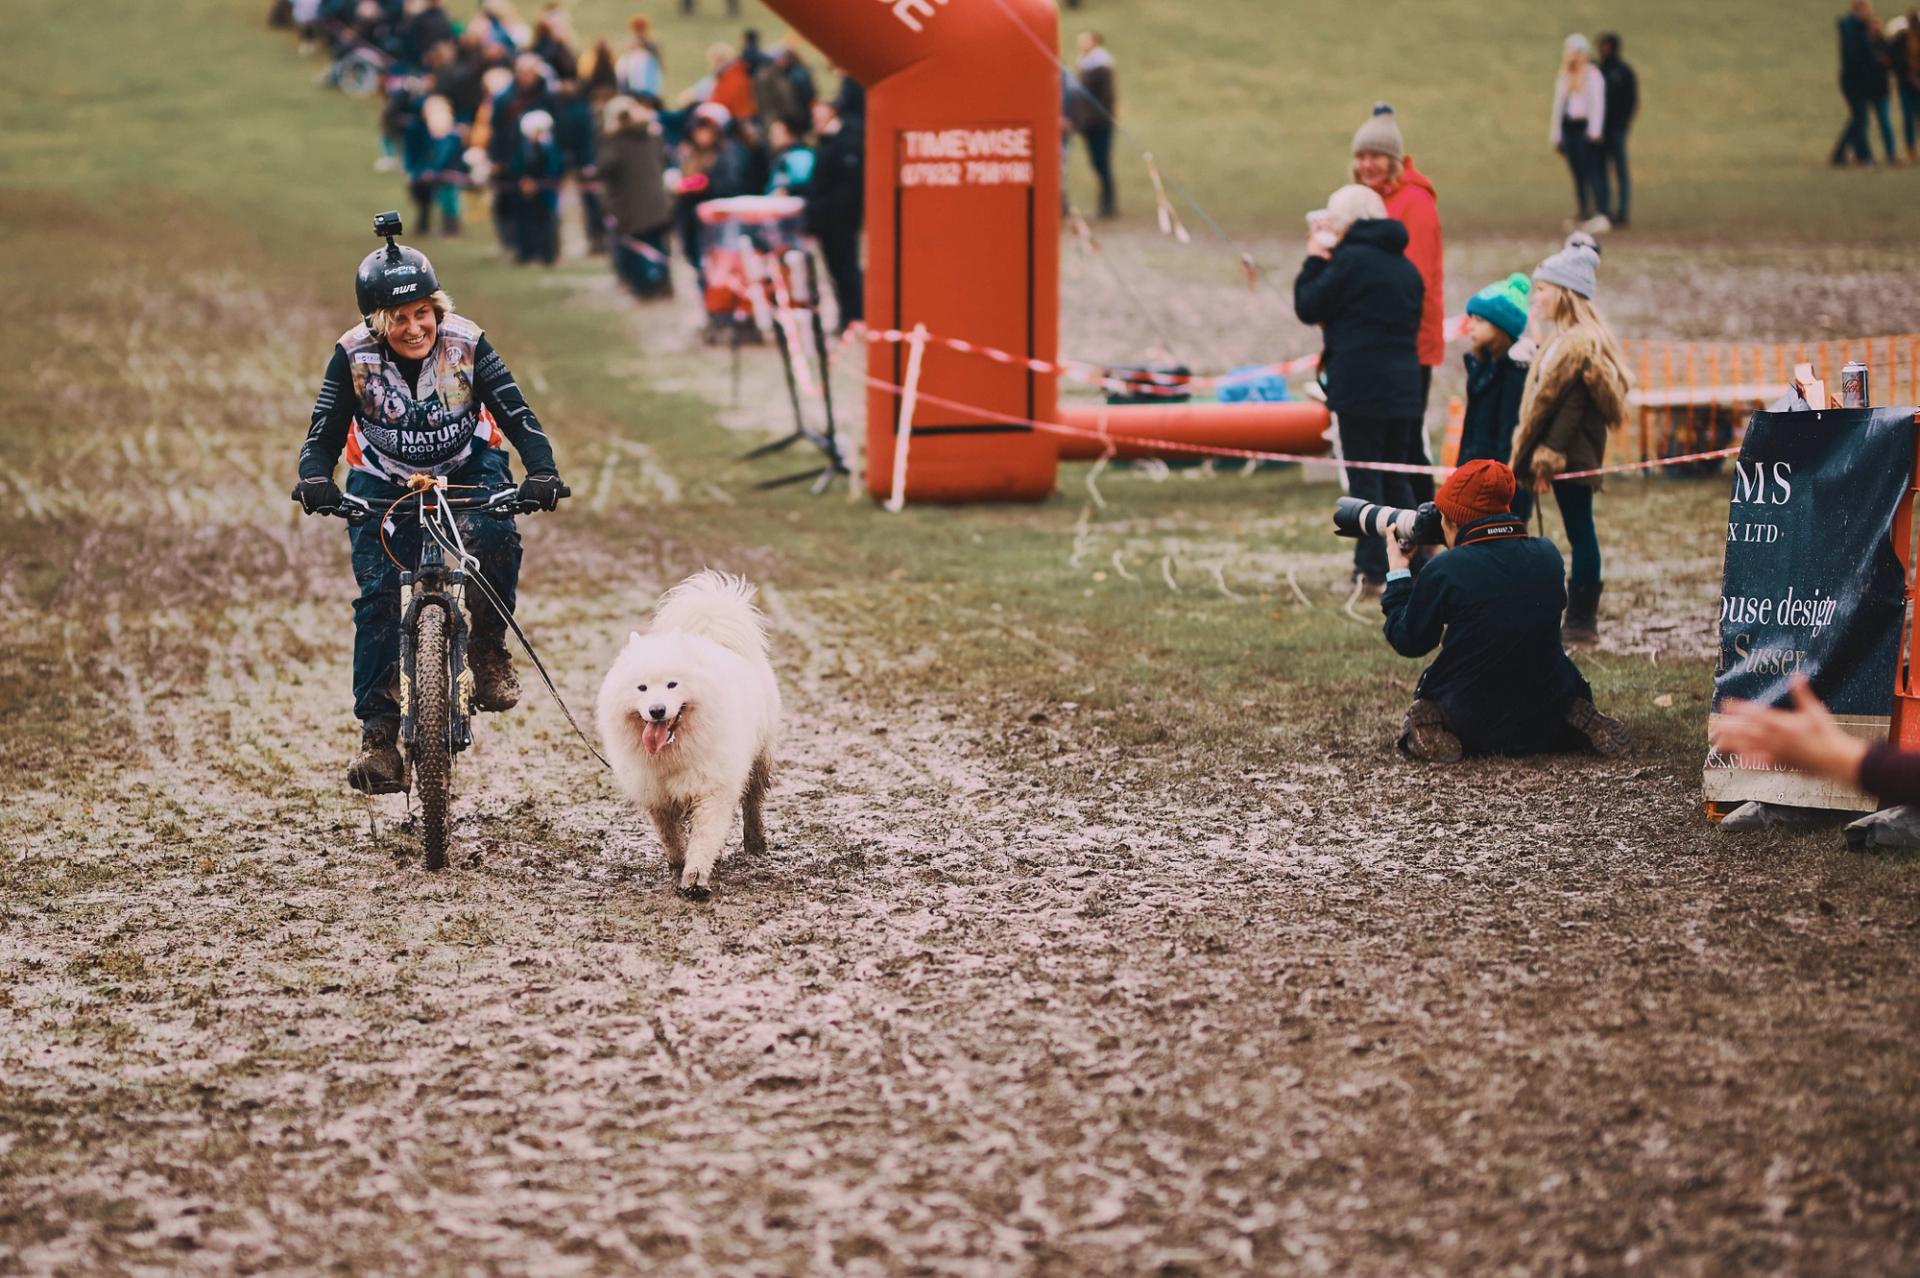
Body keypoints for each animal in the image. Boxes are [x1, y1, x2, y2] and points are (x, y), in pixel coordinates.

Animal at [595, 568, 783, 894]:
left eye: (673, 684)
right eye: (642, 688)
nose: (657, 710)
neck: (672, 753)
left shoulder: (712, 789)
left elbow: (704, 837)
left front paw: (695, 877)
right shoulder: (657, 797)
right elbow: (671, 836)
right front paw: (678, 864)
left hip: (759, 756)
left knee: (753, 801)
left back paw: (756, 842)